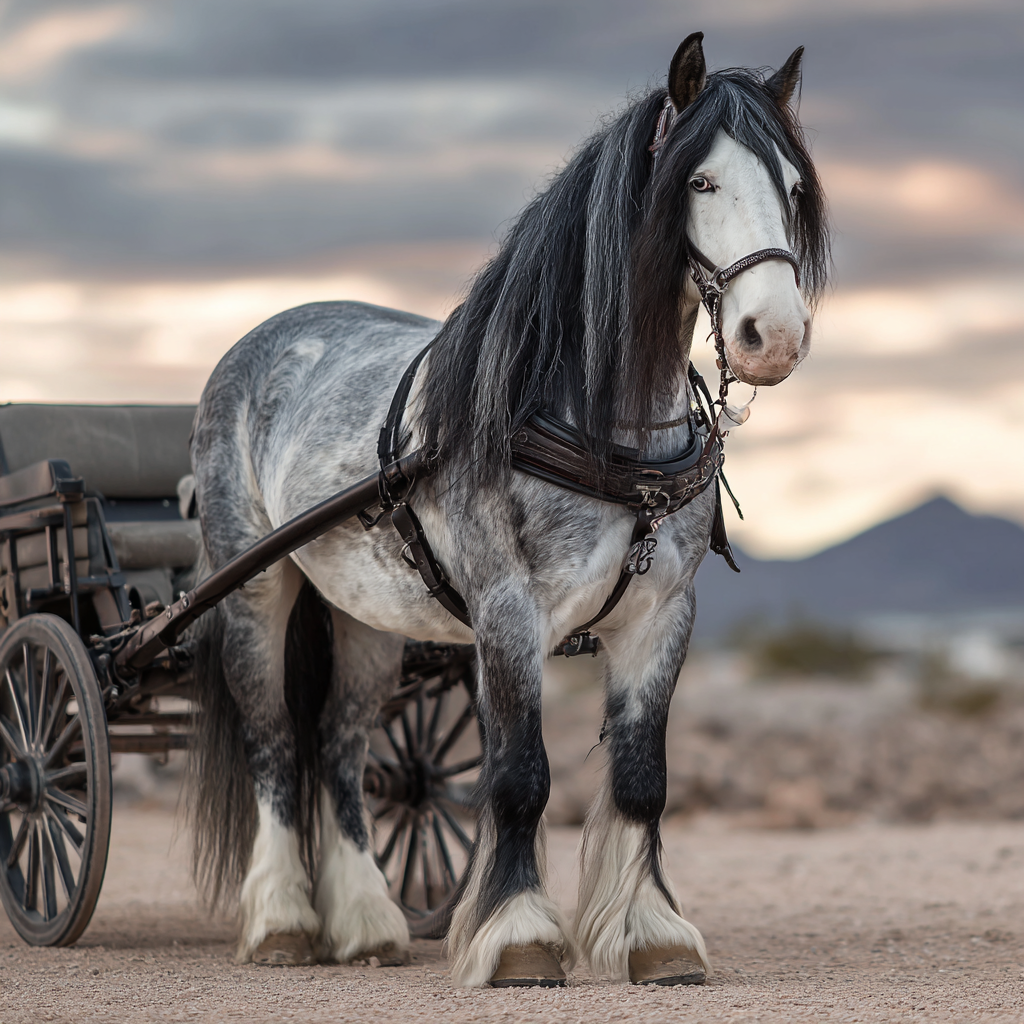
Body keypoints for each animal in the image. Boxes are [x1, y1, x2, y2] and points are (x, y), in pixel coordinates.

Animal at [185, 32, 829, 987]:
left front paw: (655, 935)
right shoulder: (508, 613)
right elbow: (521, 776)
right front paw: (521, 937)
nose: (773, 336)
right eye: (701, 181)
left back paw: (367, 922)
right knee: (273, 741)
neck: (598, 433)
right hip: (255, 594)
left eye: (792, 186)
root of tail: (260, 338)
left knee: (340, 746)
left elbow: (641, 777)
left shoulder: (662, 616)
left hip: (365, 616)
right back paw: (281, 924)